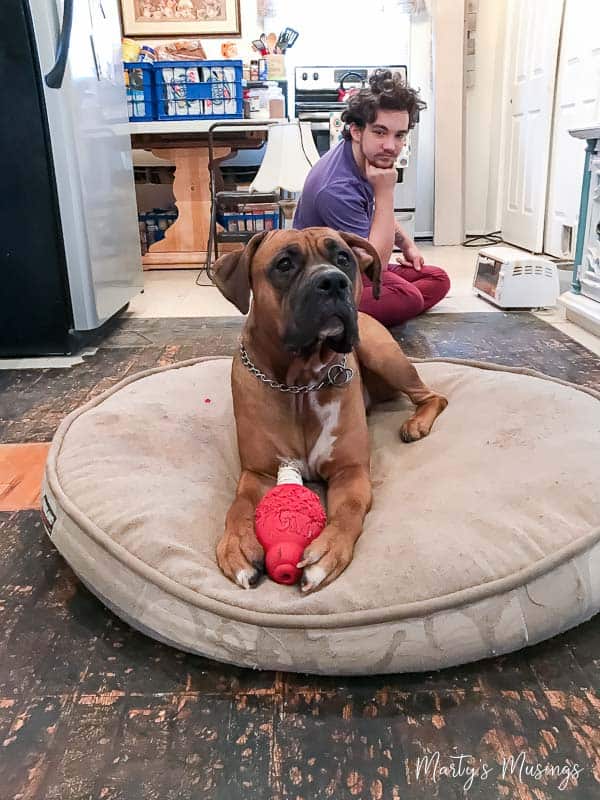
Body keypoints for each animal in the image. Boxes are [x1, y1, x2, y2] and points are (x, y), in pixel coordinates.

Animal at [211, 228, 446, 592]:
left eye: (343, 259)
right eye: (284, 264)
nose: (333, 281)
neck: (299, 384)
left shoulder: (350, 472)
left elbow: (348, 510)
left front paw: (327, 552)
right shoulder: (258, 472)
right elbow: (240, 505)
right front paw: (236, 544)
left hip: (383, 355)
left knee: (433, 396)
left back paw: (416, 423)